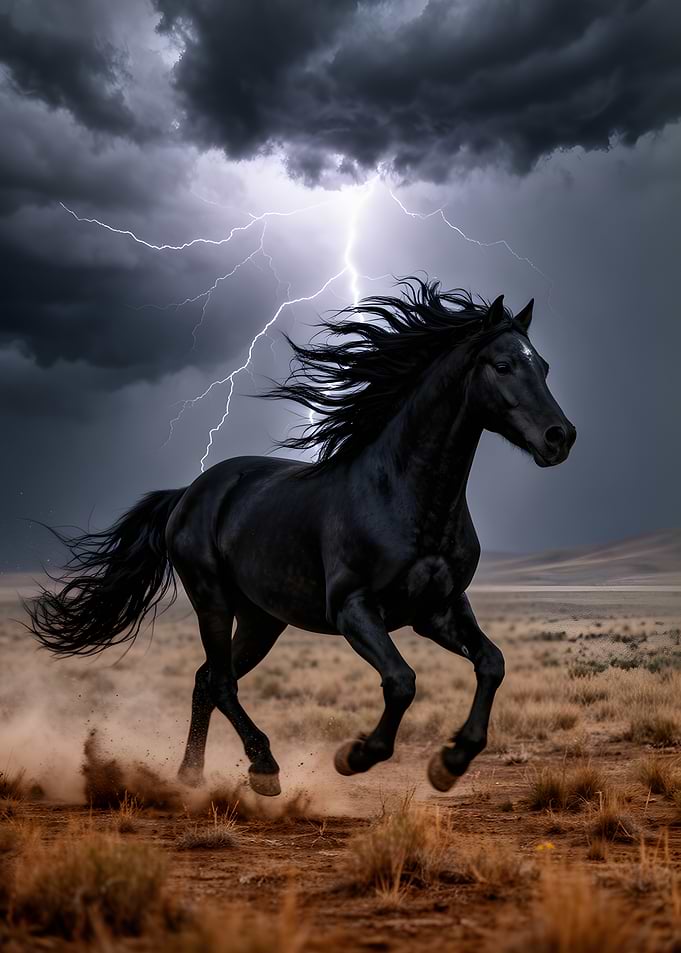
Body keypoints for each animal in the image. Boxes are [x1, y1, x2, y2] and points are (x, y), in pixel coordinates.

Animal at [27, 278, 576, 797]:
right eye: (503, 365)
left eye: (546, 367)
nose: (560, 438)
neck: (406, 497)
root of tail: (189, 493)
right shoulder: (354, 609)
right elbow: (401, 682)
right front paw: (356, 756)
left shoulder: (437, 610)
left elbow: (492, 664)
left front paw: (451, 761)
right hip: (212, 600)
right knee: (221, 682)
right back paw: (264, 769)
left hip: (262, 619)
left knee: (206, 681)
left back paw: (191, 777)